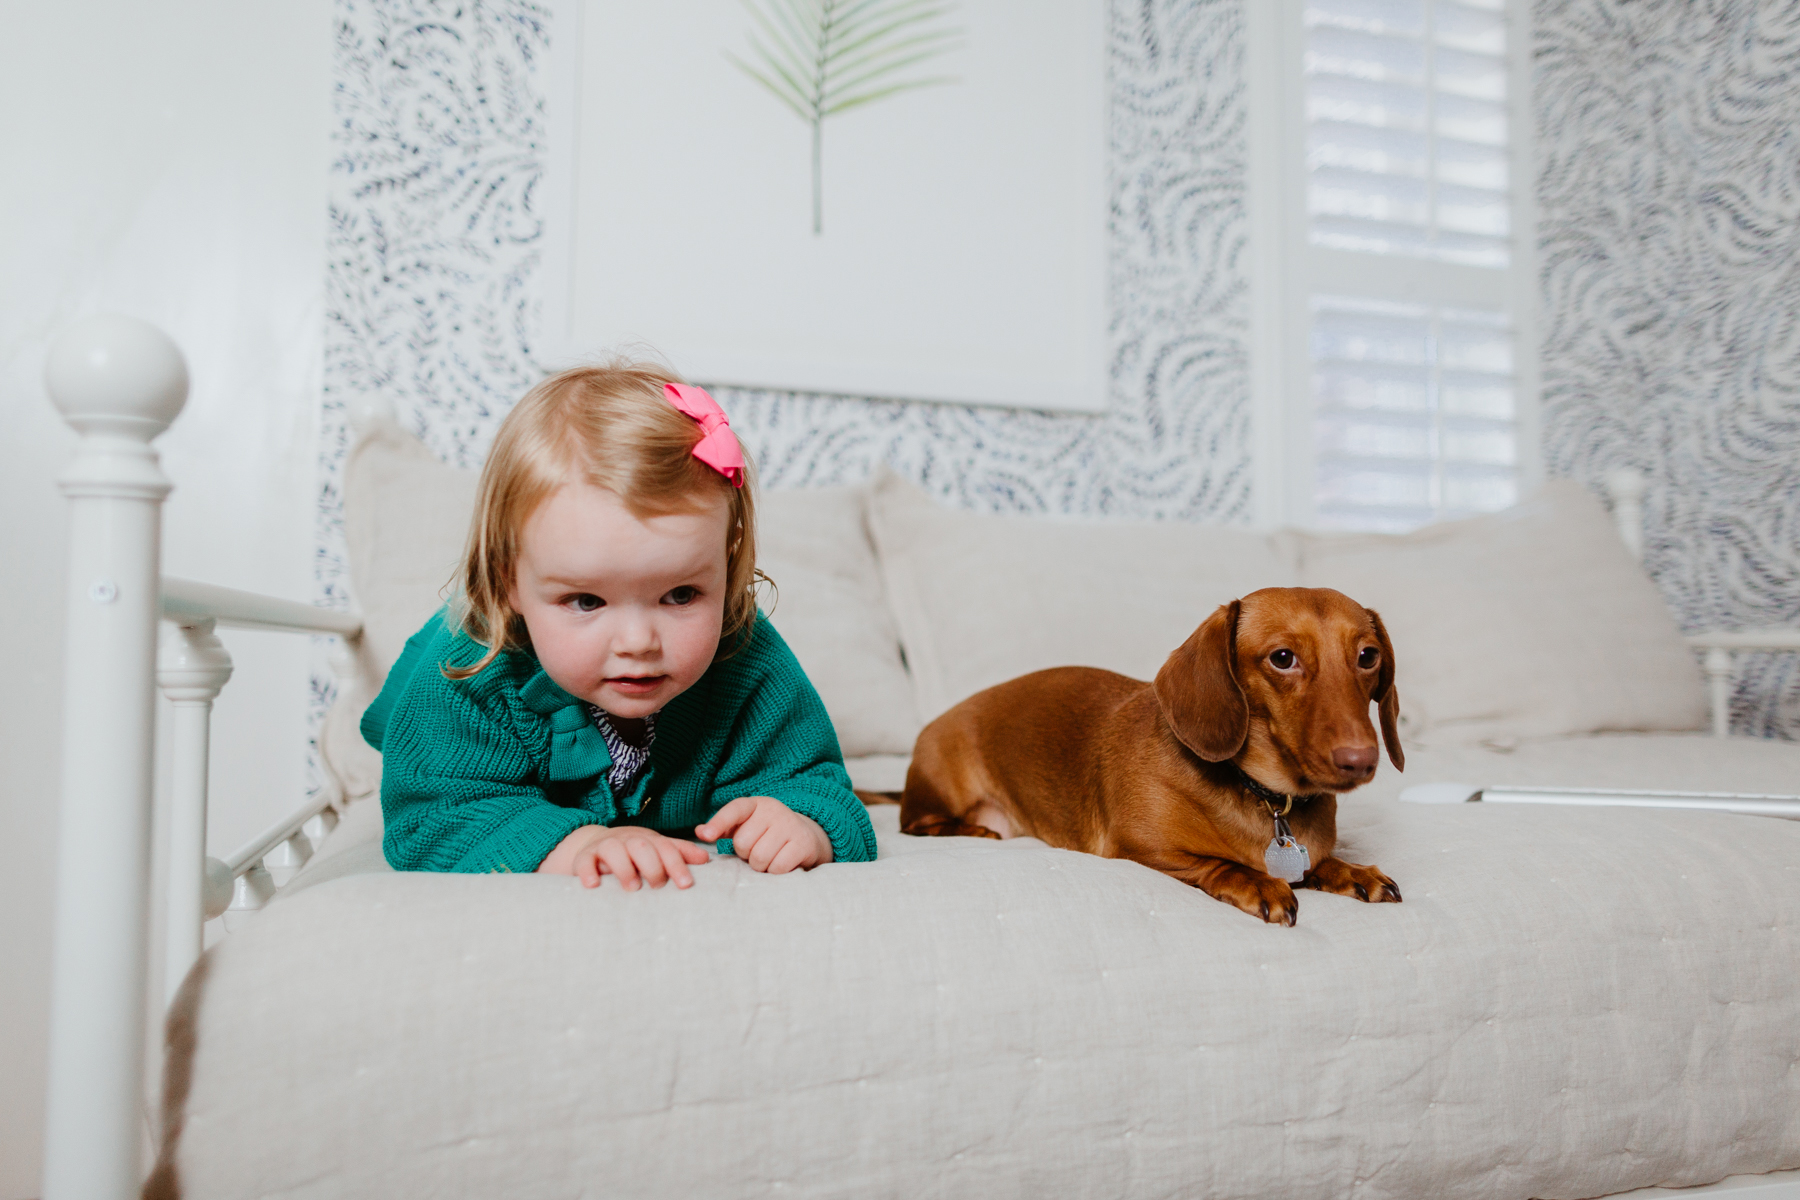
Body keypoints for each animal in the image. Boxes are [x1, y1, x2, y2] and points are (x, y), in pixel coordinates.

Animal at [900, 586, 1404, 928]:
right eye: (1283, 657)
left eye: (1368, 656)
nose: (1360, 760)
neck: (1265, 797)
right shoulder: (1139, 848)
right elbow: (1219, 864)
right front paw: (1258, 880)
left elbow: (1321, 861)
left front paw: (1351, 871)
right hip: (942, 787)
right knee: (919, 824)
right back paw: (973, 829)